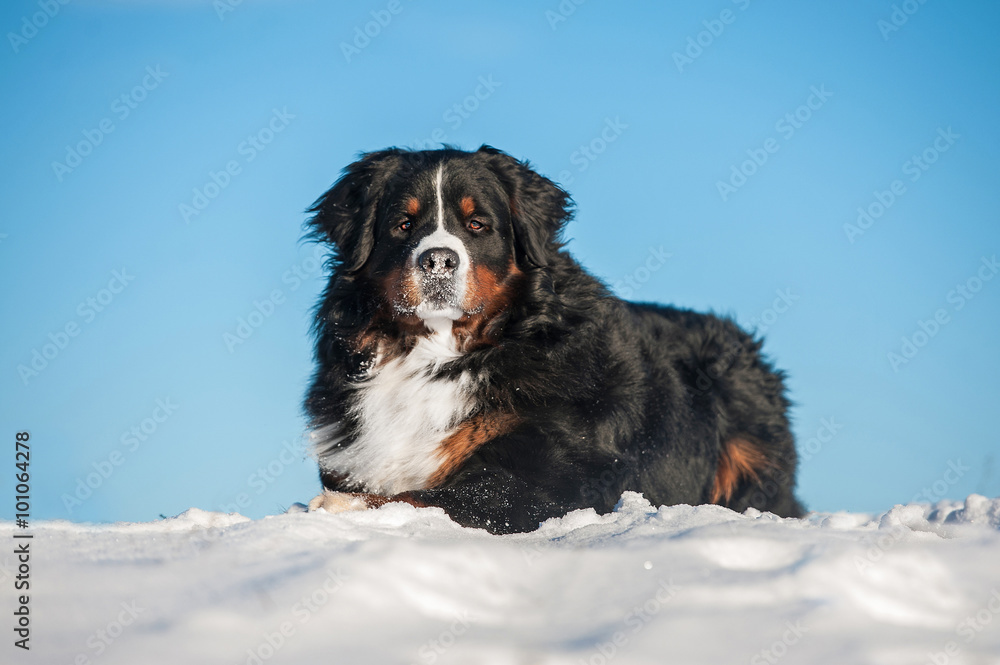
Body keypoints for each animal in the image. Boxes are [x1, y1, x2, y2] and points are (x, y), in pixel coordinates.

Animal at [304, 145, 804, 536]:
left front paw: (343, 507)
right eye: (403, 224)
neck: (438, 355)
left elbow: (439, 496)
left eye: (478, 224)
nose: (439, 261)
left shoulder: (554, 480)